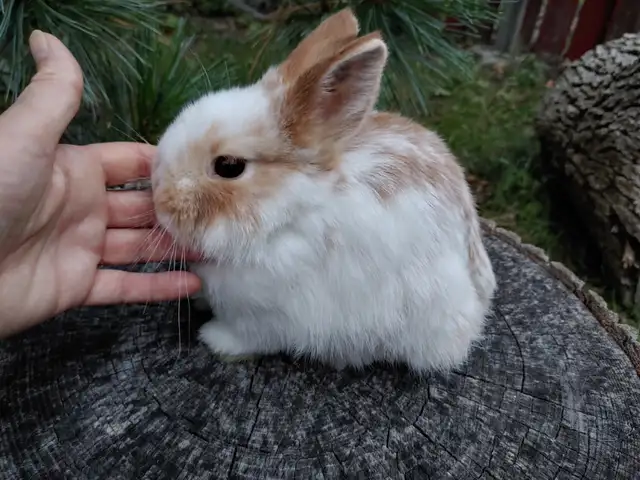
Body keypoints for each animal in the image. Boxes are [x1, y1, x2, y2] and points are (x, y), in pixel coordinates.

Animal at [151, 8, 497, 373]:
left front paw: (215, 341)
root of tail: (481, 295)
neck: (286, 213)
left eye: (229, 166)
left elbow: (248, 337)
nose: (159, 196)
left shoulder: (268, 316)